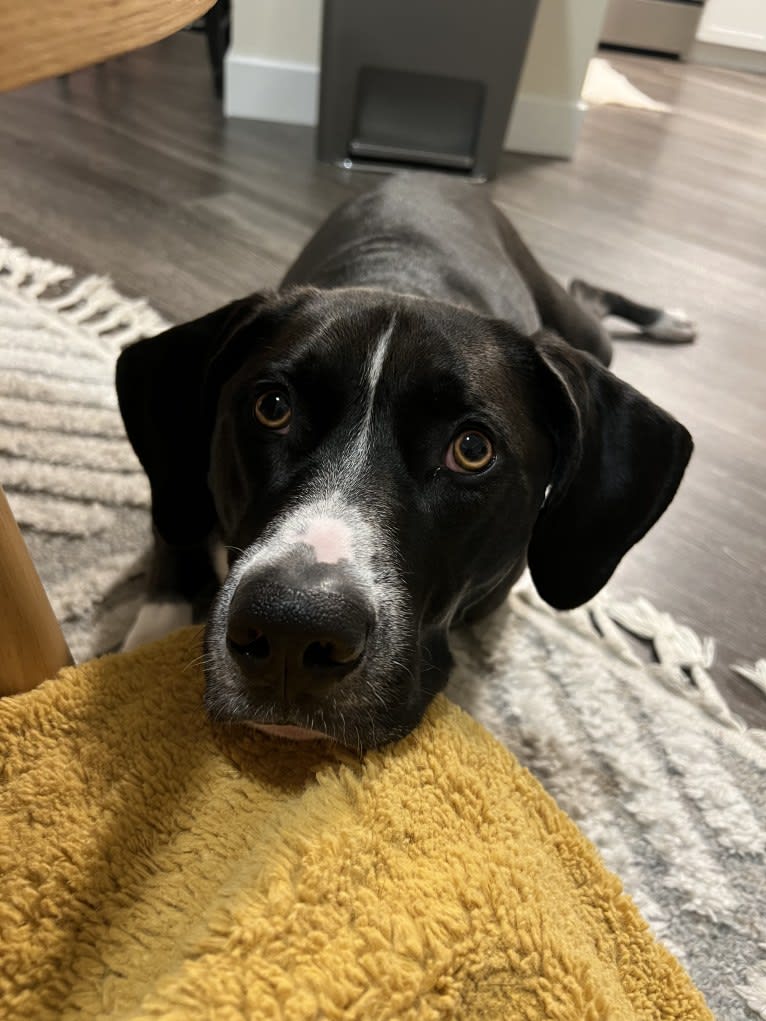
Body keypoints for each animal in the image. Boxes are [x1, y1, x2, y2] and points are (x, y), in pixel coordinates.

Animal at [115, 173, 694, 751]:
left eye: (472, 449)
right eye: (273, 407)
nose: (291, 630)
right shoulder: (178, 486)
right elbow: (171, 543)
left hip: (578, 328)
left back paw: (668, 319)